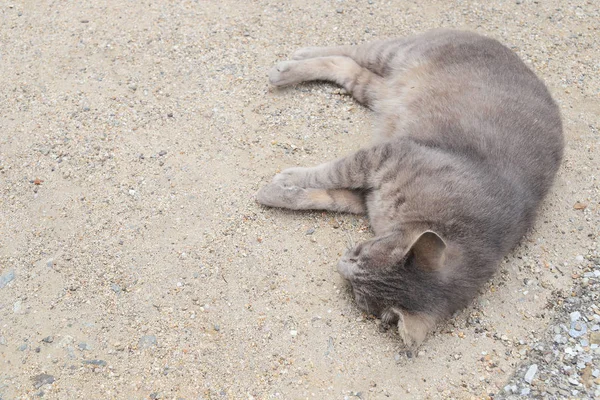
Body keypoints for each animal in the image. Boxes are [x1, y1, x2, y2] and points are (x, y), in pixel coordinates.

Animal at [256, 28, 564, 346]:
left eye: (358, 294)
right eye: (364, 250)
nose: (341, 264)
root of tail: (519, 61)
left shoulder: (366, 195)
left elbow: (323, 196)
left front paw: (279, 192)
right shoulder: (384, 156)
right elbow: (330, 173)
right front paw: (284, 182)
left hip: (375, 90)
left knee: (345, 66)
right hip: (392, 53)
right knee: (347, 50)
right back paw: (294, 60)